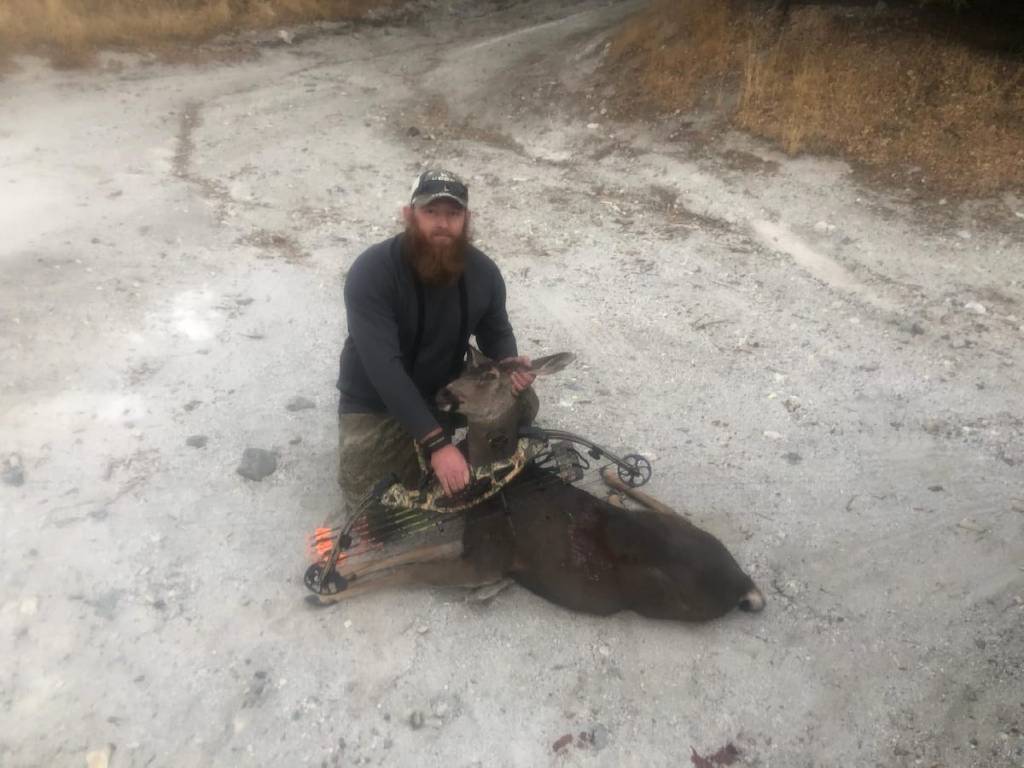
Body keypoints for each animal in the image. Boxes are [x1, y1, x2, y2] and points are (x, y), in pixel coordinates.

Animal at [310, 348, 765, 622]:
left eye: (490, 374)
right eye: (464, 367)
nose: (443, 393)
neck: (498, 481)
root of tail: (743, 583)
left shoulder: (486, 559)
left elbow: (410, 572)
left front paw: (326, 591)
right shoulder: (469, 542)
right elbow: (409, 554)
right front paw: (337, 570)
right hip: (679, 530)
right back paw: (612, 479)